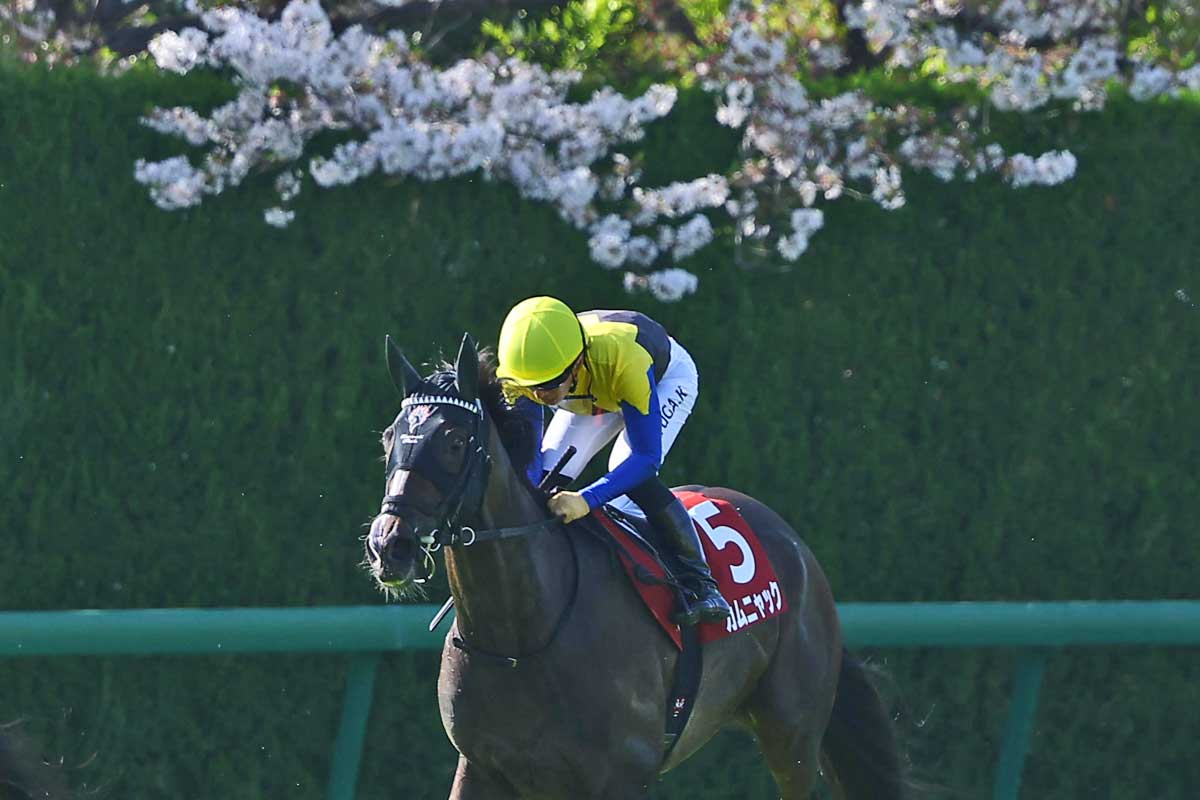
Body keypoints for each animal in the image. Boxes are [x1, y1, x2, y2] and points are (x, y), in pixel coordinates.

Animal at [365, 333, 907, 800]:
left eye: (455, 441)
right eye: (389, 438)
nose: (390, 545)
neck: (521, 635)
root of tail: (796, 546)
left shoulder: (620, 778)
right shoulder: (481, 768)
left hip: (792, 734)